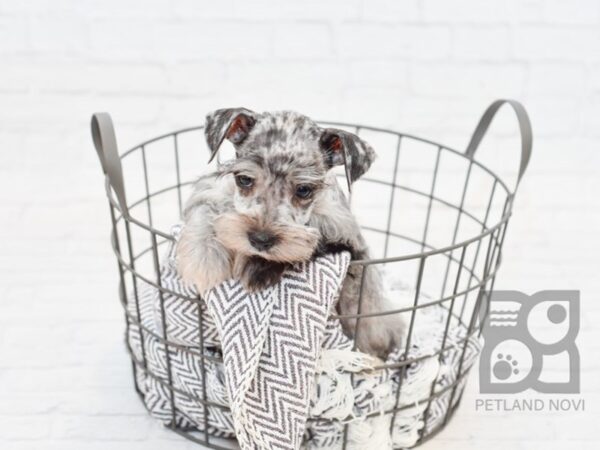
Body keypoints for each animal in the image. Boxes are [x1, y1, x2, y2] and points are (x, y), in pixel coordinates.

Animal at [176, 109, 406, 358]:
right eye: (244, 179)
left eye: (304, 189)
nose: (260, 240)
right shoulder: (214, 189)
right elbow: (206, 208)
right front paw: (205, 255)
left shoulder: (344, 231)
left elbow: (309, 242)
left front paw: (259, 266)